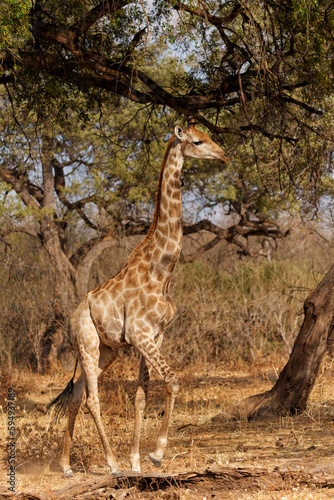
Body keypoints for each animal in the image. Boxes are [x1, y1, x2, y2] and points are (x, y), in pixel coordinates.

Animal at [48, 119, 231, 474]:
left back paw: (65, 465)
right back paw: (110, 462)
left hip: (107, 351)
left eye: (209, 136)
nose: (225, 156)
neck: (163, 272)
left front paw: (136, 460)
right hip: (87, 343)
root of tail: (73, 317)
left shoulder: (154, 337)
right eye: (198, 142)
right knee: (91, 398)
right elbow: (172, 381)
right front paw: (156, 453)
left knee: (76, 396)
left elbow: (141, 396)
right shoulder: (140, 335)